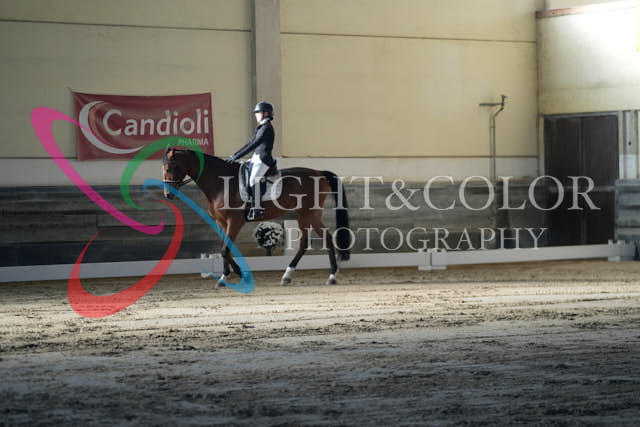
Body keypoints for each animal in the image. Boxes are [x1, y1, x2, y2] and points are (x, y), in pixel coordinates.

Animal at [161, 147, 351, 287]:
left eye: (170, 168)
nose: (168, 195)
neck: (221, 183)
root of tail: (319, 172)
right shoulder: (221, 222)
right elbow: (225, 248)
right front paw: (227, 276)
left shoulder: (234, 222)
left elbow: (225, 249)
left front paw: (237, 275)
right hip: (309, 214)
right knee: (324, 239)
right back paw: (323, 276)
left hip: (306, 213)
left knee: (309, 241)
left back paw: (306, 275)